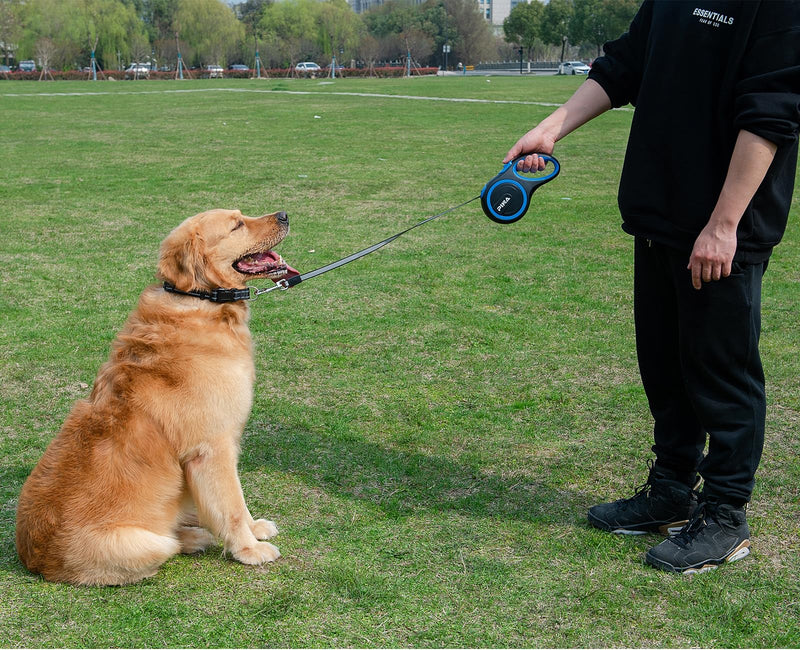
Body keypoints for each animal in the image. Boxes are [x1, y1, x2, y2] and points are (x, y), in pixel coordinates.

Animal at [14, 209, 296, 588]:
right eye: (236, 225)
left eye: (242, 214)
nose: (284, 214)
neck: (200, 300)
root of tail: (34, 559)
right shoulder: (211, 449)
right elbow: (232, 505)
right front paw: (249, 548)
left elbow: (238, 502)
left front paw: (255, 529)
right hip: (145, 543)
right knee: (169, 543)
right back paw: (194, 537)